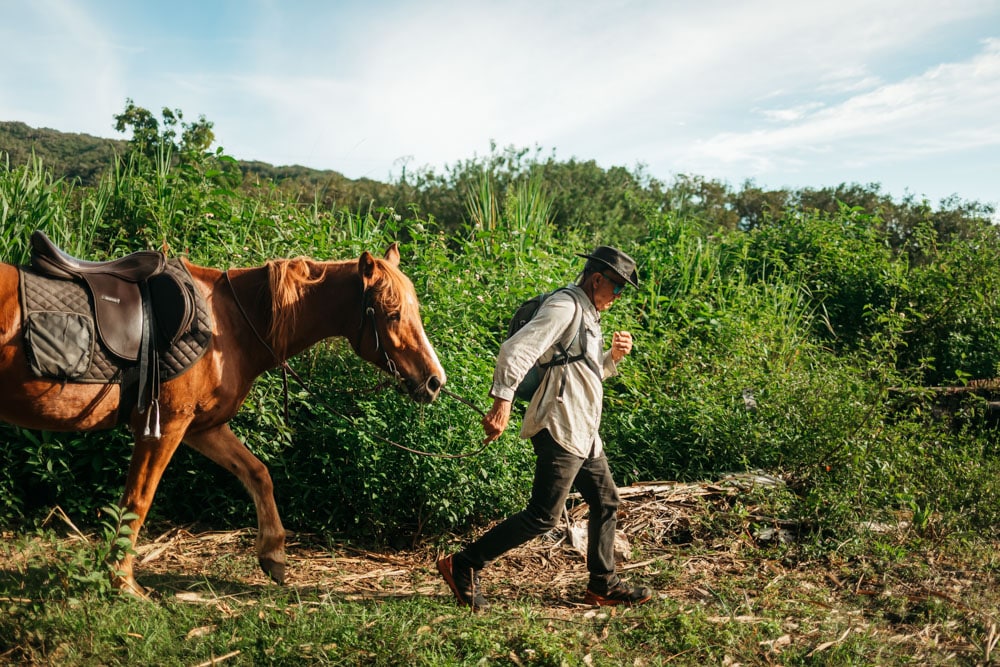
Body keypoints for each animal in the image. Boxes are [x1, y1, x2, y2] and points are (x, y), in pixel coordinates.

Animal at [0, 243, 446, 596]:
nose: (435, 381)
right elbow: (137, 500)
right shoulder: (166, 426)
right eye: (391, 313)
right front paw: (122, 582)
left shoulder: (203, 428)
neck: (227, 325)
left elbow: (258, 473)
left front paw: (273, 554)